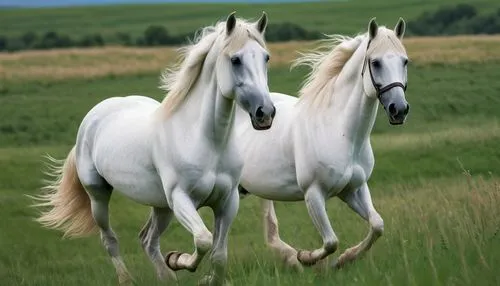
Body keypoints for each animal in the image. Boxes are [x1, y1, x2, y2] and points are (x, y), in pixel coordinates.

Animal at [32, 11, 274, 286]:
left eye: (266, 57)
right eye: (235, 59)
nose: (265, 113)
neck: (206, 140)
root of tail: (94, 116)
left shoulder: (227, 201)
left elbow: (219, 254)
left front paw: (198, 273)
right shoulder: (181, 198)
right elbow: (203, 240)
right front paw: (180, 260)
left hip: (161, 207)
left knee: (148, 239)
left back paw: (166, 276)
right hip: (100, 196)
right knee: (110, 239)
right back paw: (128, 278)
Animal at [234, 17, 410, 270]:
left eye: (405, 61)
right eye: (375, 63)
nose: (400, 109)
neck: (340, 132)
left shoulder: (353, 189)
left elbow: (377, 225)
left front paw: (345, 259)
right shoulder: (314, 194)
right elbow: (330, 242)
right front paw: (307, 257)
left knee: (269, 231)